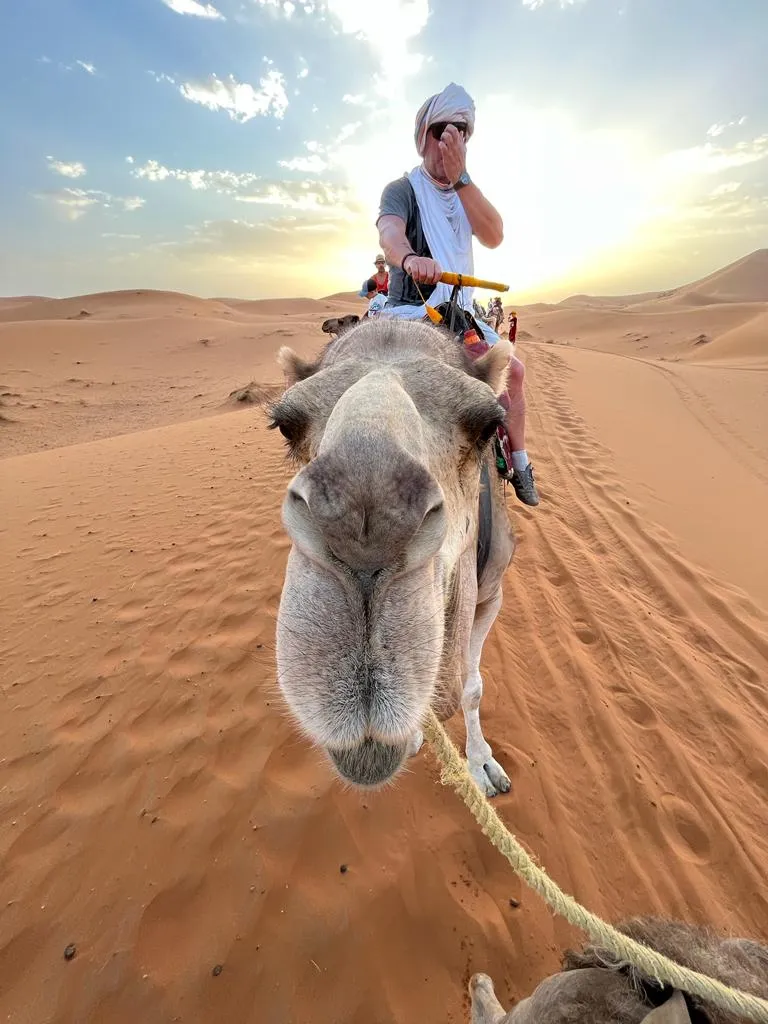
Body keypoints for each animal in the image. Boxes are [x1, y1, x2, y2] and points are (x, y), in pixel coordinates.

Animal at [270, 317, 516, 796]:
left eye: (488, 425)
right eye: (286, 426)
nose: (364, 530)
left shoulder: (491, 595)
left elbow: (472, 687)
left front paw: (481, 766)